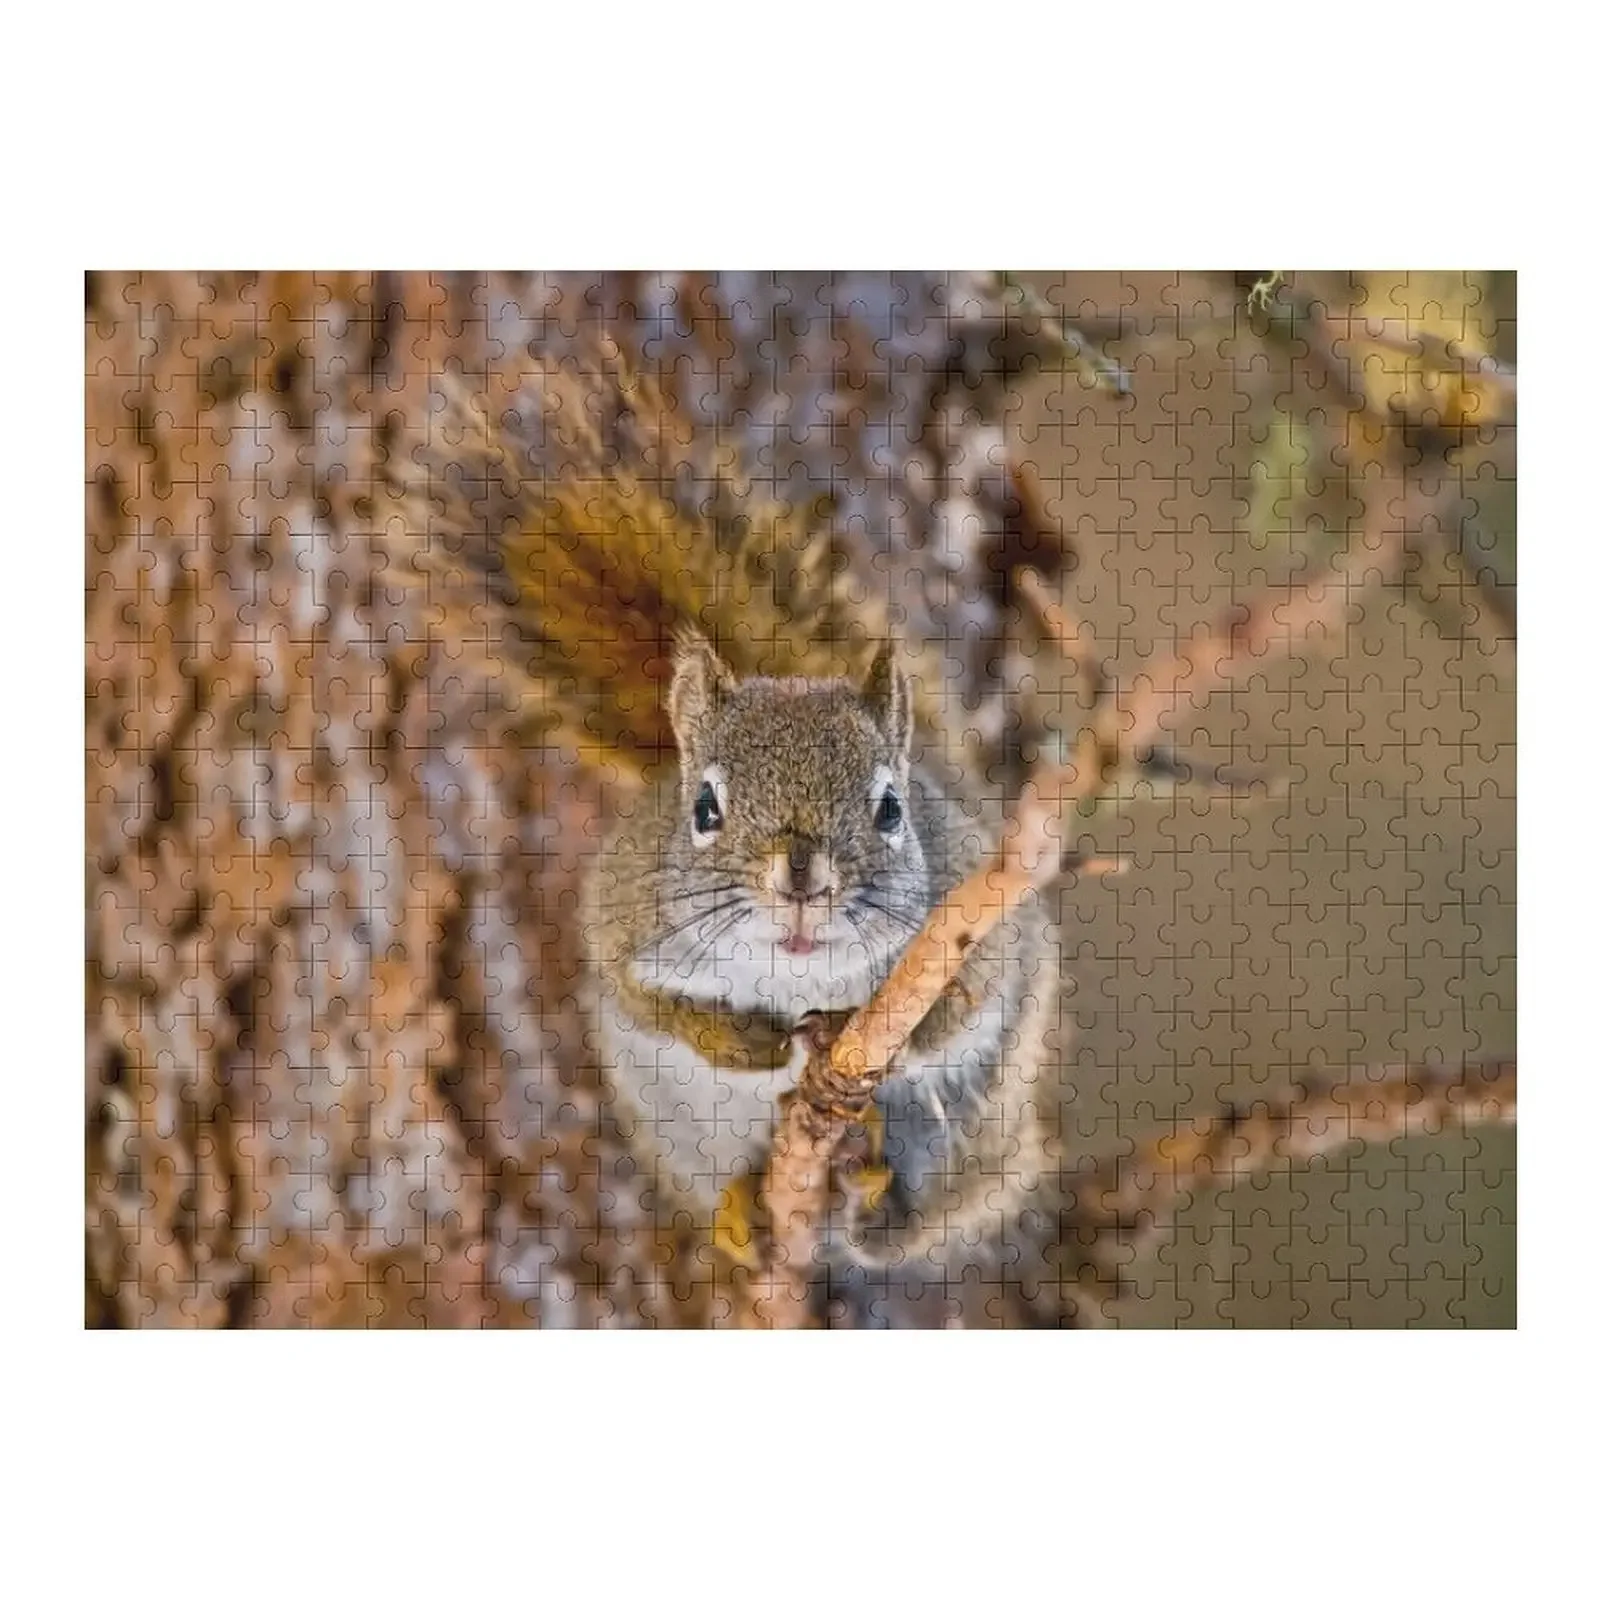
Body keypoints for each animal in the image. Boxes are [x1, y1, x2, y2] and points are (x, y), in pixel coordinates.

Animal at [396, 356, 1062, 1315]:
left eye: (891, 810)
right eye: (704, 809)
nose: (801, 879)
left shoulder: (975, 927)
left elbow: (958, 1005)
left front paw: (854, 1033)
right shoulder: (623, 917)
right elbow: (644, 1001)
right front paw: (741, 1043)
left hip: (984, 1129)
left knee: (926, 1209)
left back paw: (875, 1191)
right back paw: (746, 1204)